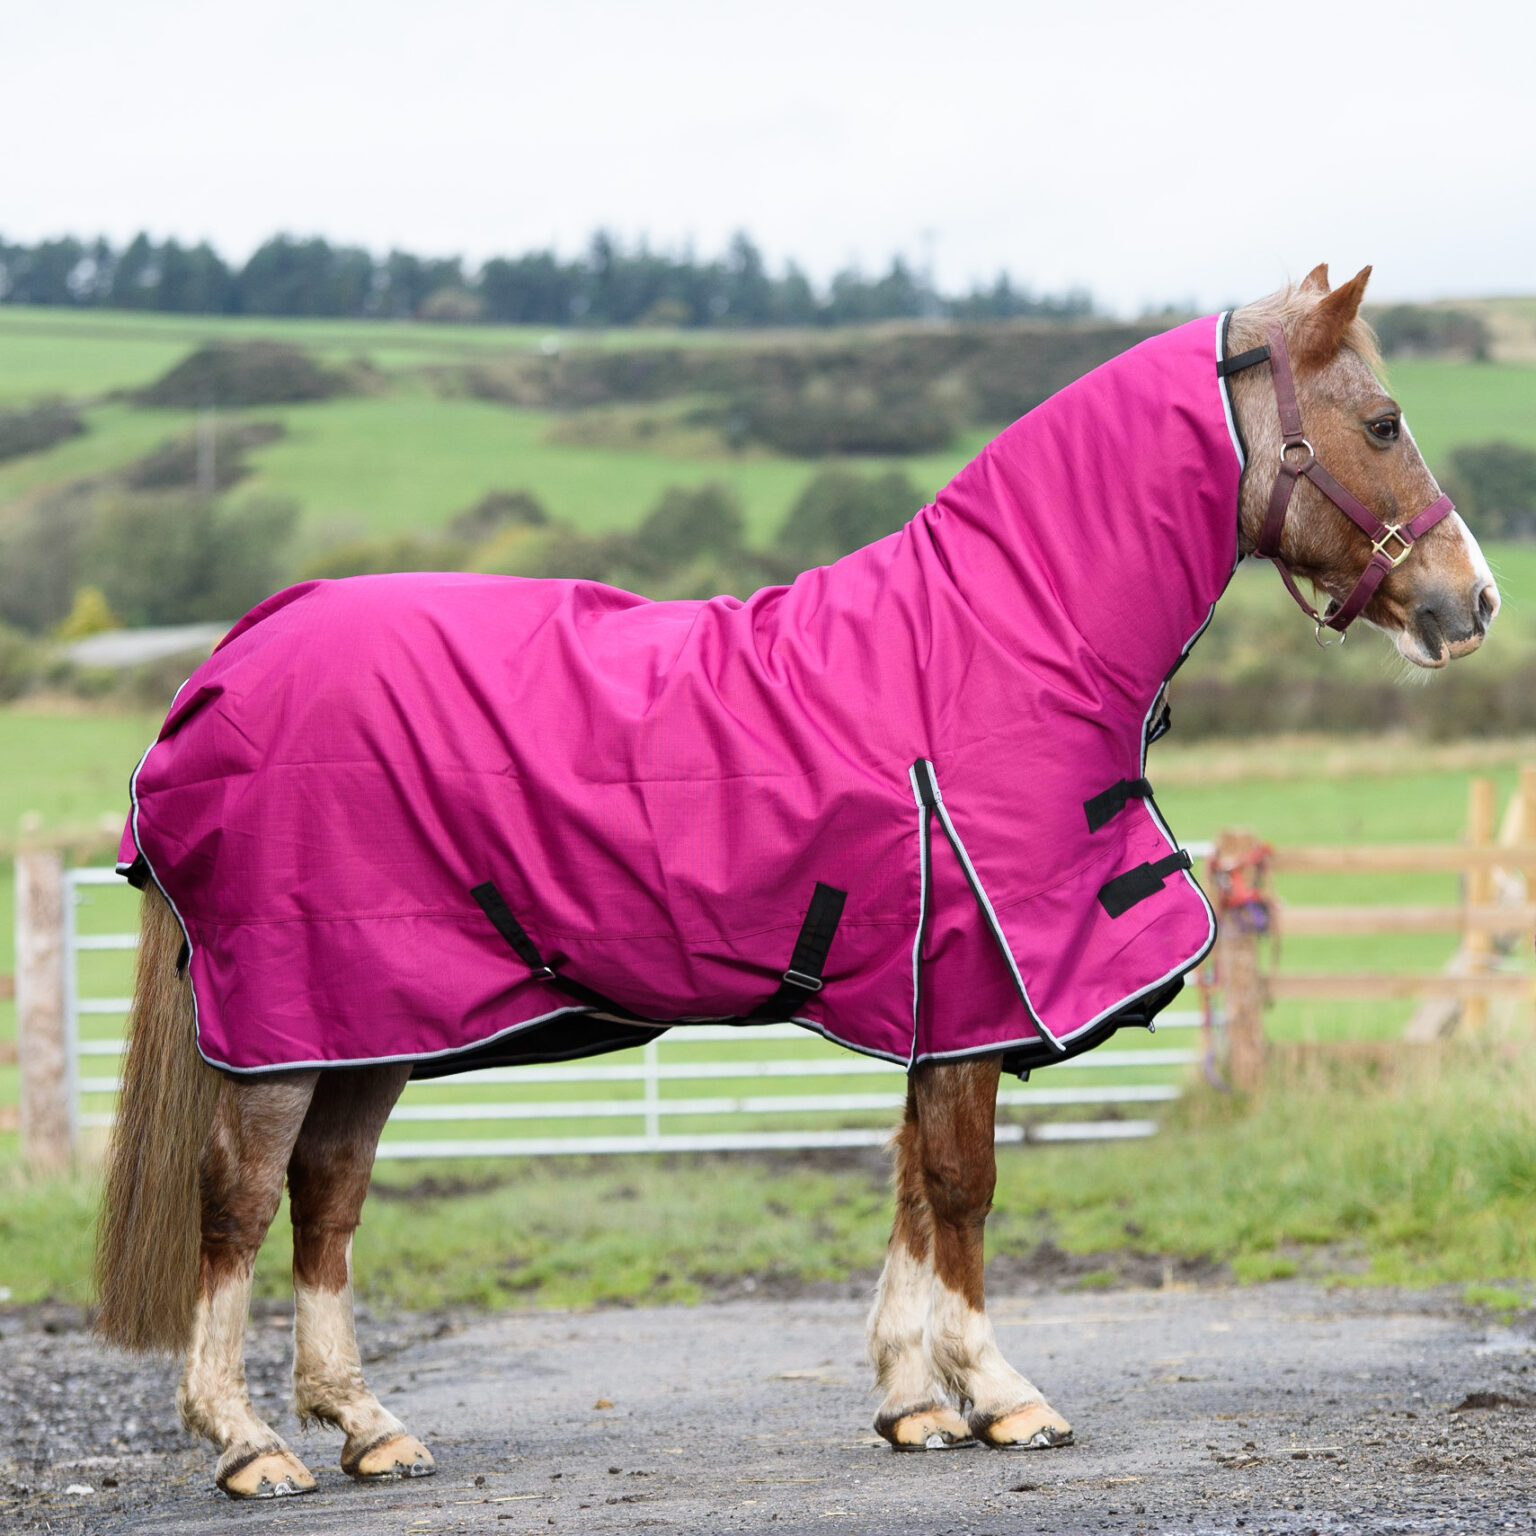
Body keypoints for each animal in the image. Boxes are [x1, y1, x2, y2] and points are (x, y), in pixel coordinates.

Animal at [94, 264, 1497, 1499]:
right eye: (1383, 421)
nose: (1472, 602)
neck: (994, 639)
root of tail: (230, 659)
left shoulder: (938, 997)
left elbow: (913, 1189)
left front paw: (915, 1404)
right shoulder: (976, 983)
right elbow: (963, 1191)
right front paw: (1003, 1396)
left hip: (372, 1018)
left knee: (328, 1196)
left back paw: (368, 1427)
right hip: (289, 1022)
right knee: (238, 1201)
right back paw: (248, 1444)